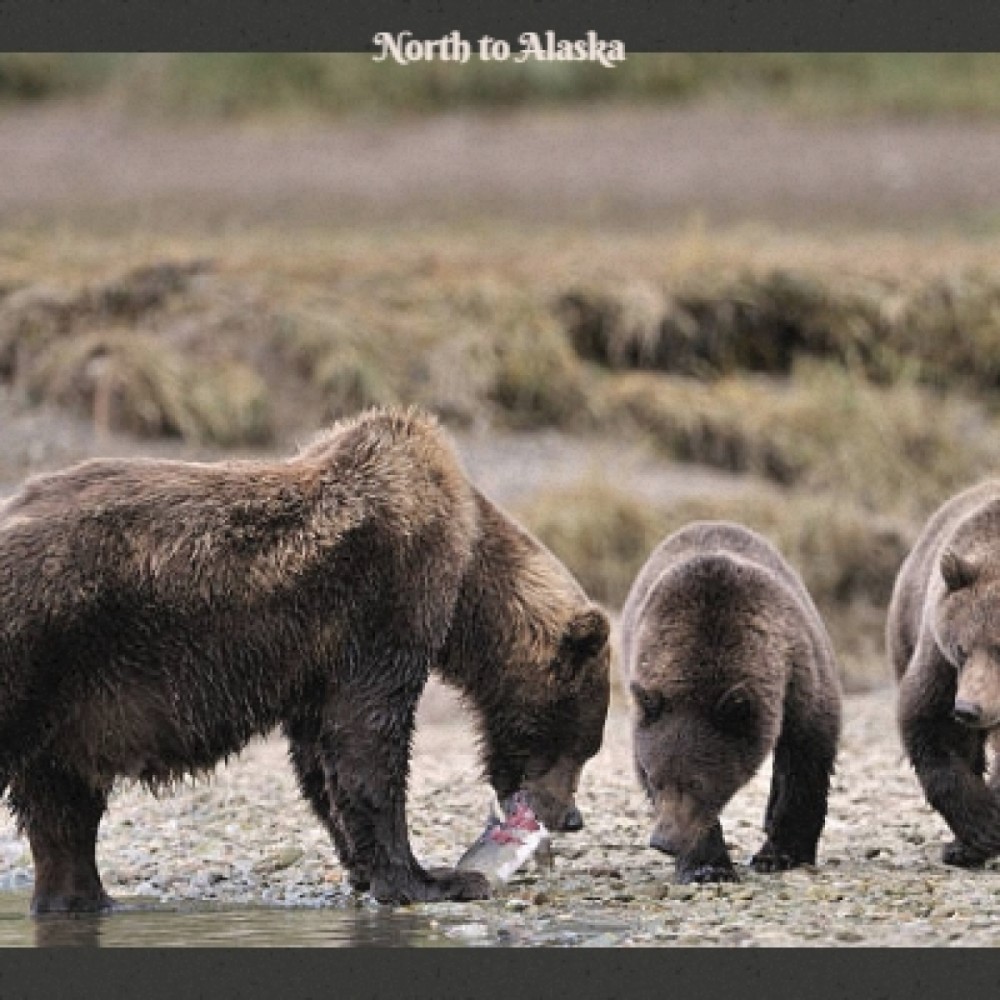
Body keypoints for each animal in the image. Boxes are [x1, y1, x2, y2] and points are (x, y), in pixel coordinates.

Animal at [0, 406, 608, 916]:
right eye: (584, 743)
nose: (571, 818)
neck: (465, 584)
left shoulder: (318, 664)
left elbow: (322, 759)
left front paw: (366, 866)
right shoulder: (385, 601)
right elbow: (370, 741)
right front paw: (430, 877)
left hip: (69, 703)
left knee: (62, 806)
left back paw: (81, 898)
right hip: (37, 646)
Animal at [620, 524, 840, 884]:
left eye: (696, 782)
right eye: (655, 779)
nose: (662, 841)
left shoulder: (799, 671)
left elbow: (806, 756)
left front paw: (779, 854)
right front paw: (707, 865)